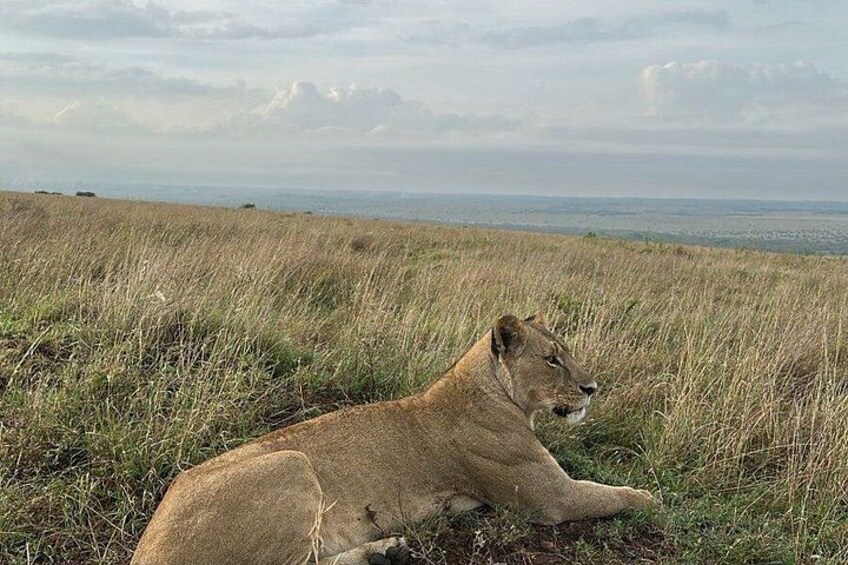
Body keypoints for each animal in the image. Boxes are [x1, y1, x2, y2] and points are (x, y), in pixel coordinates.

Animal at [132, 313, 654, 565]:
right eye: (552, 359)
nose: (591, 388)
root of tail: (146, 547)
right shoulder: (550, 498)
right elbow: (612, 495)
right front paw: (651, 498)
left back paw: (387, 552)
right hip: (291, 462)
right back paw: (382, 553)